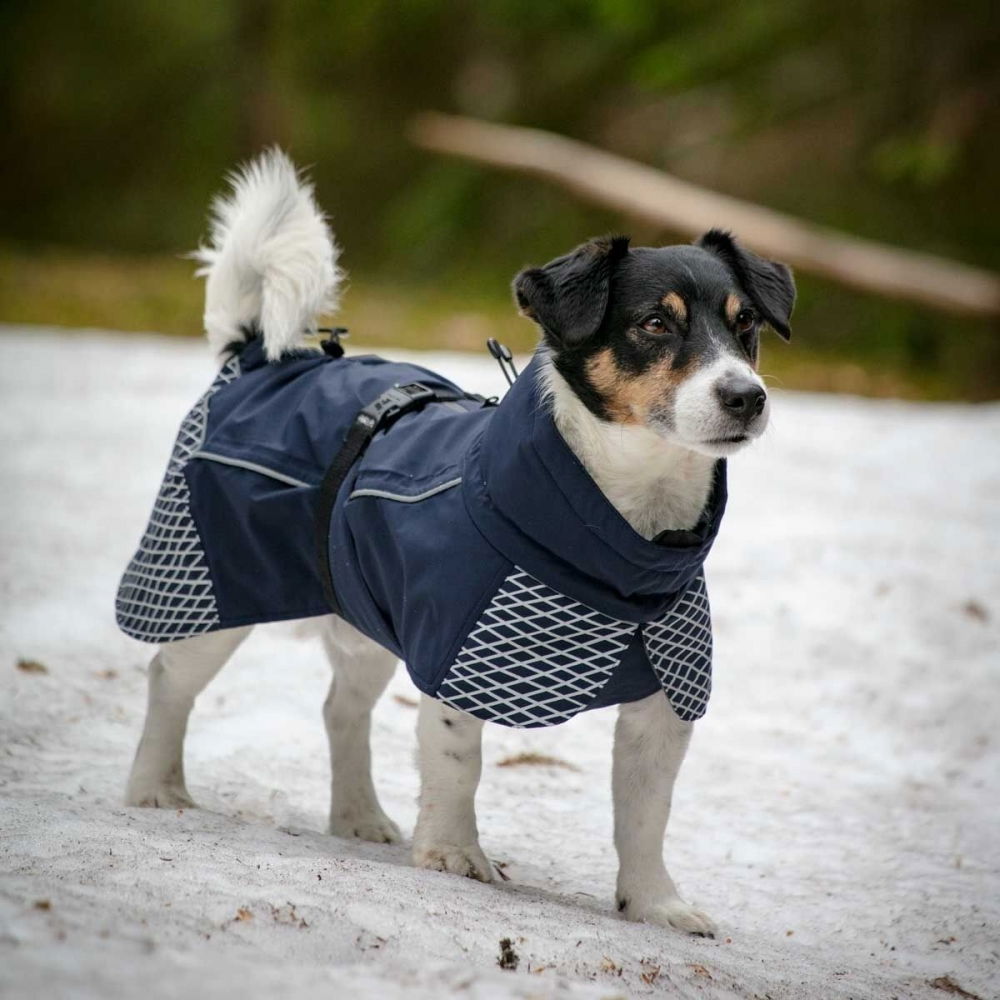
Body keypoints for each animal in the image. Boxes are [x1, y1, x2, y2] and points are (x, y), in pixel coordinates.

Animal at [121, 150, 792, 936]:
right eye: (656, 322)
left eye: (746, 325)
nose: (746, 396)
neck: (627, 541)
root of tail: (253, 354)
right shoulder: (458, 651)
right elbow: (456, 759)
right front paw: (451, 853)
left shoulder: (666, 699)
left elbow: (646, 812)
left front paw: (655, 903)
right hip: (219, 586)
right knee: (169, 679)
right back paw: (154, 788)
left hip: (365, 614)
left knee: (341, 710)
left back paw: (359, 816)